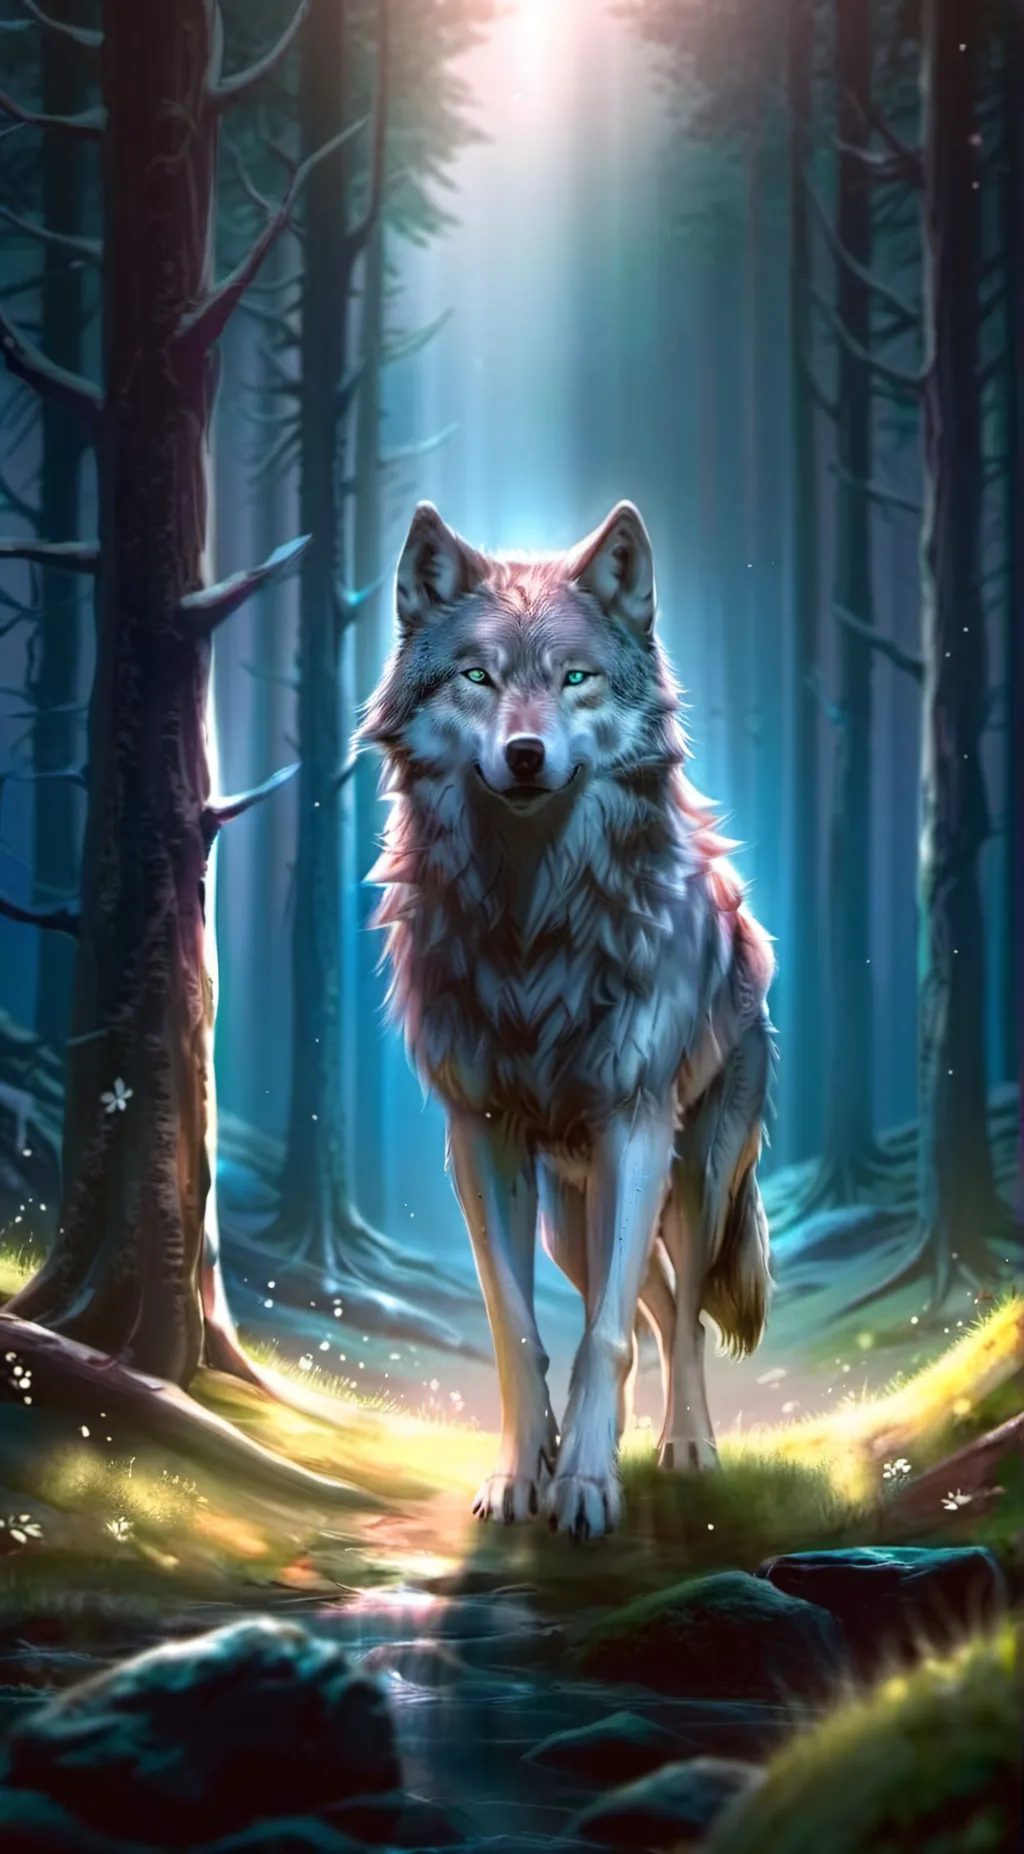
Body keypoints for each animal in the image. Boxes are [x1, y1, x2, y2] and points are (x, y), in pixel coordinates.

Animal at [359, 500, 775, 1539]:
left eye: (575, 678)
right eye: (478, 675)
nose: (524, 754)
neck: (531, 923)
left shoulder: (635, 1123)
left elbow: (604, 1339)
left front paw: (585, 1485)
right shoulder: (480, 1137)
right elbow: (519, 1329)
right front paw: (523, 1474)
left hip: (693, 1178)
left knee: (677, 1312)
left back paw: (685, 1447)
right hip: (565, 1218)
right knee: (641, 1305)